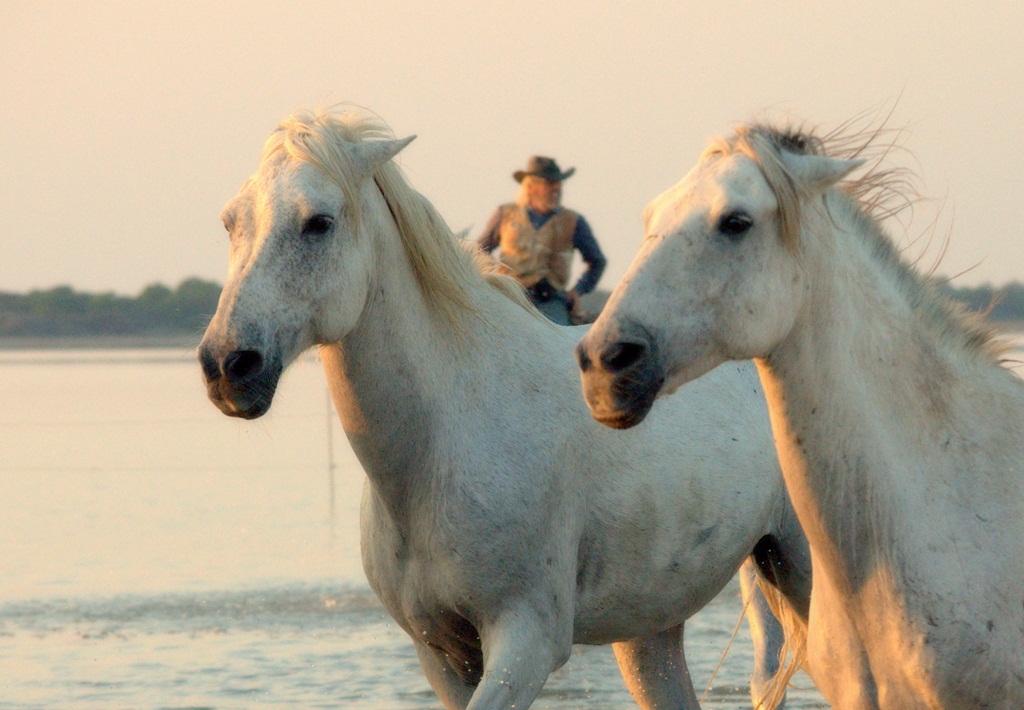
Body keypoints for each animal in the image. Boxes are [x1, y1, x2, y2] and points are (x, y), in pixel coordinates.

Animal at [195, 106, 811, 708]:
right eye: (230, 221)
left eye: (318, 222)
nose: (227, 364)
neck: (445, 439)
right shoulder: (440, 654)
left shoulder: (526, 641)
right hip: (650, 632)